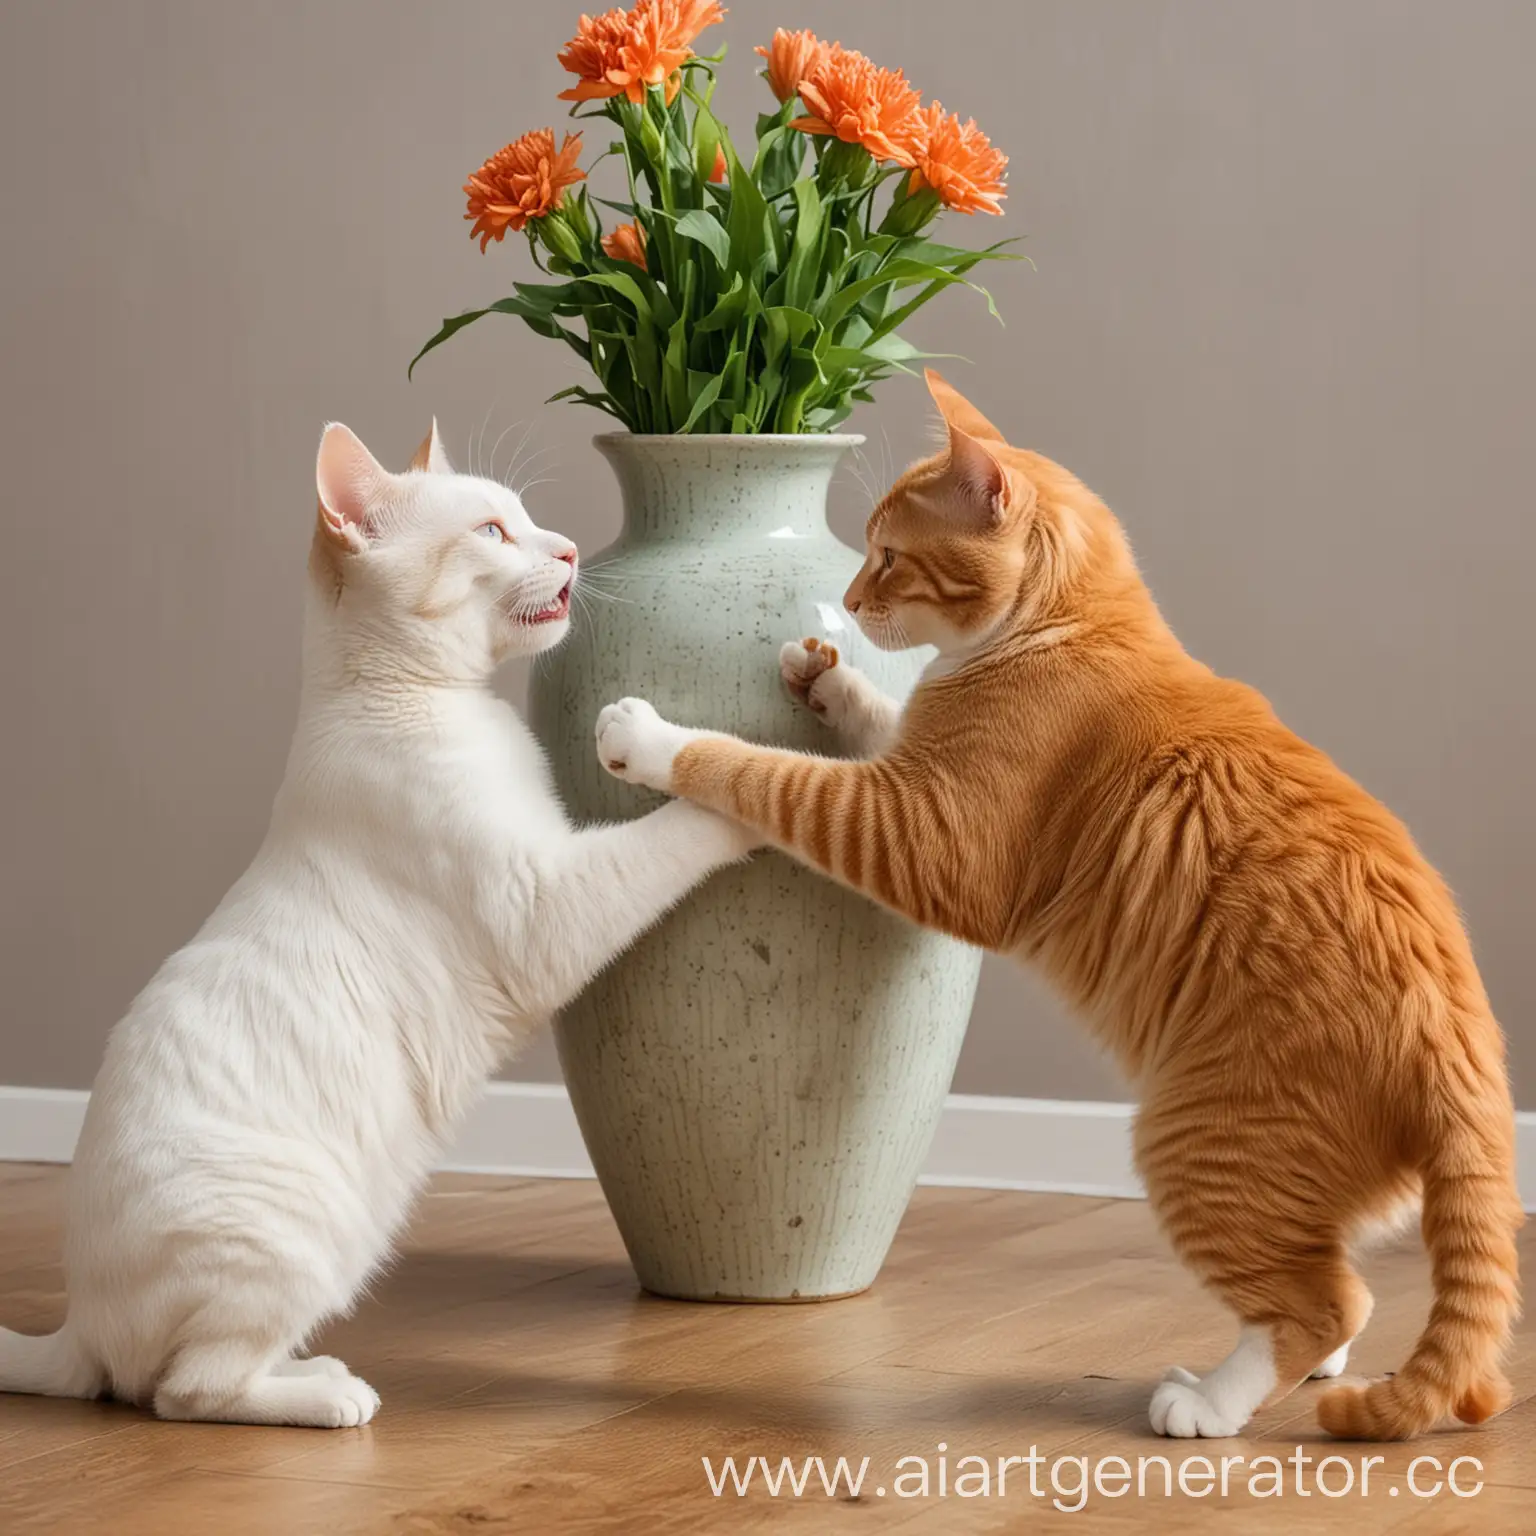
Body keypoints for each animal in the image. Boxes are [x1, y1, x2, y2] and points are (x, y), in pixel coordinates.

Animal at [0, 420, 755, 1425]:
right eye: (492, 531)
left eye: (527, 519)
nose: (566, 550)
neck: (429, 703)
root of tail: (78, 1325)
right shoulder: (545, 903)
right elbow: (680, 829)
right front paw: (768, 783)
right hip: (298, 1234)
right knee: (186, 1391)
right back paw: (332, 1396)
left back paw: (309, 1369)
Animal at [595, 371, 1523, 1437]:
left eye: (888, 555)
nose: (857, 601)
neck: (1066, 627)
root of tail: (1463, 1051)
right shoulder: (914, 783)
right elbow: (879, 723)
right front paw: (827, 679)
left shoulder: (921, 837)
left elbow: (770, 774)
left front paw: (649, 738)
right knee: (1326, 1279)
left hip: (1200, 1143)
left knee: (1327, 1300)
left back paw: (1209, 1402)